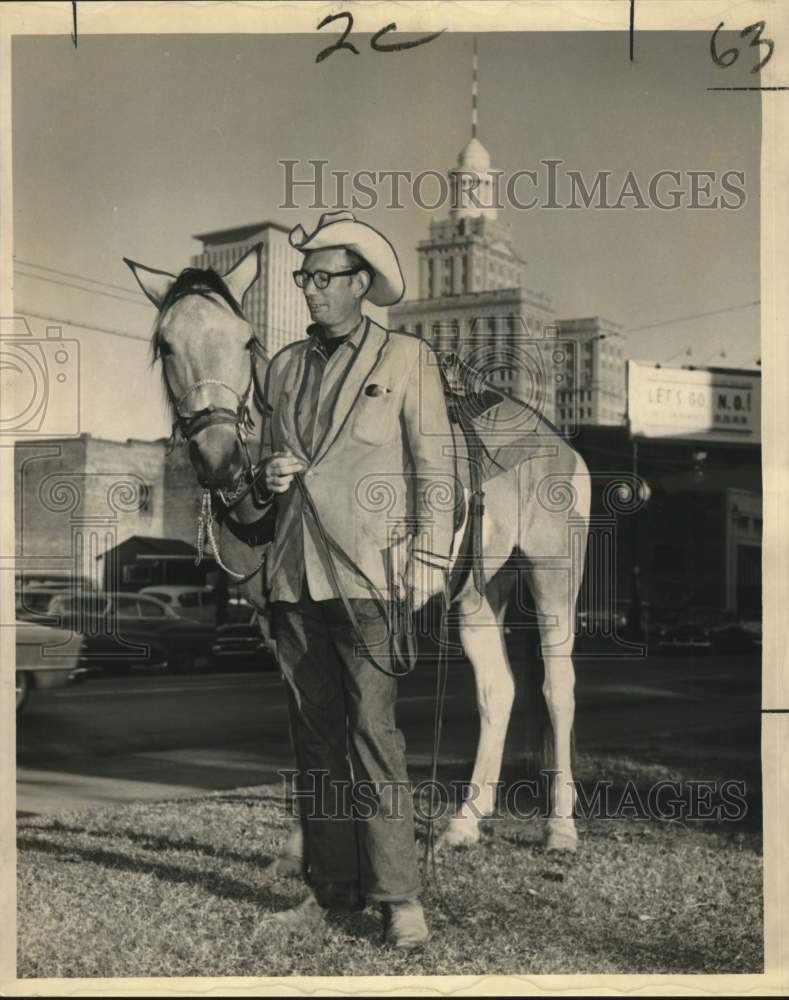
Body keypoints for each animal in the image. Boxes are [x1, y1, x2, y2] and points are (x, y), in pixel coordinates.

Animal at [124, 244, 592, 860]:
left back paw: (560, 827)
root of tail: (560, 445)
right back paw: (464, 822)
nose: (220, 455)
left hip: (551, 577)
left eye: (246, 341)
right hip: (475, 592)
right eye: (164, 345)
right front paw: (303, 844)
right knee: (499, 691)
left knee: (558, 690)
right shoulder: (280, 624)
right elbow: (305, 719)